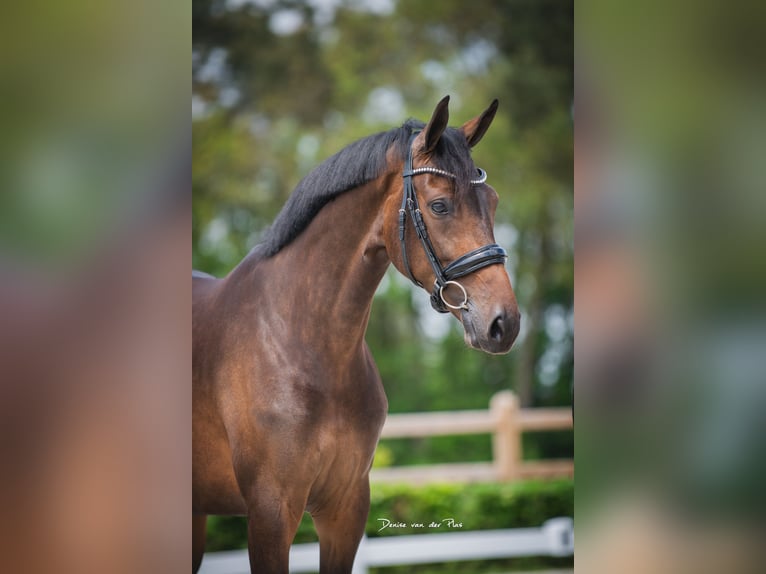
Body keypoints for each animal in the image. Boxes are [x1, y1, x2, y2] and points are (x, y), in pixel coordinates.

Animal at [192, 96, 521, 573]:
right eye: (440, 206)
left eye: (492, 202)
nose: (504, 323)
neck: (304, 344)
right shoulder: (271, 511)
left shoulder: (345, 509)